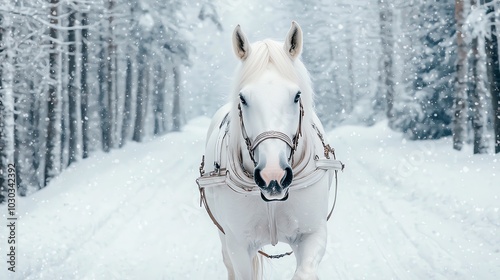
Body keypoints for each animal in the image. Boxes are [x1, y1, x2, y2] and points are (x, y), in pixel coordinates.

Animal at [196, 20, 344, 278]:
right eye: (243, 98)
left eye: (297, 95)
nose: (272, 176)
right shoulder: (238, 245)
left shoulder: (313, 234)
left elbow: (304, 273)